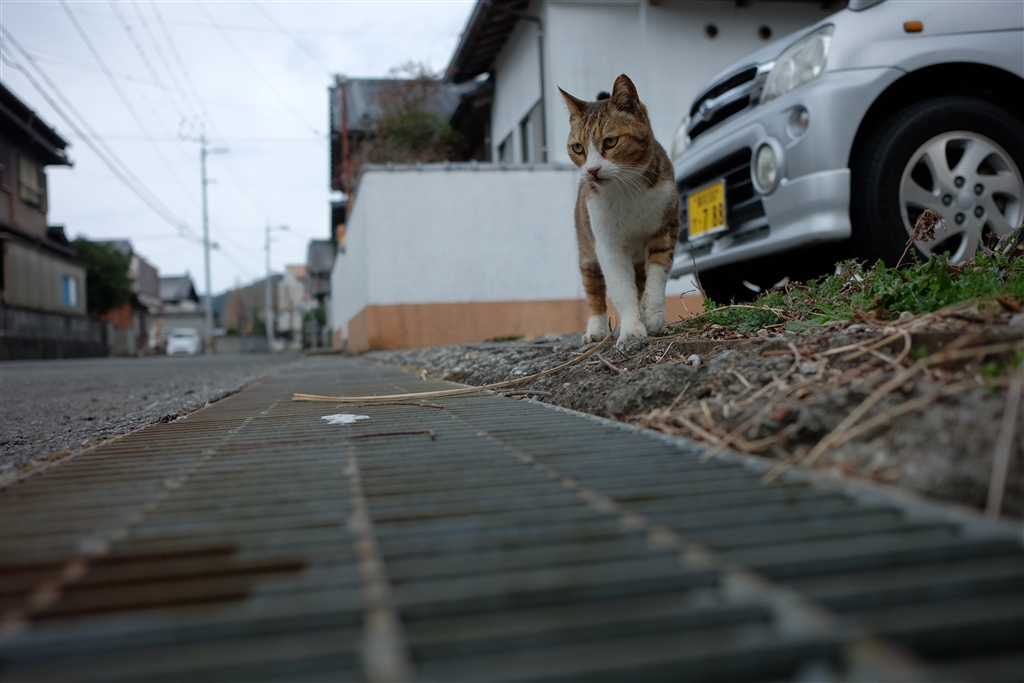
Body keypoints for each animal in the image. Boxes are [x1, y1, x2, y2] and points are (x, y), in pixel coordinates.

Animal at [559, 75, 680, 349]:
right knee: (594, 292)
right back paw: (595, 330)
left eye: (610, 141)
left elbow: (657, 272)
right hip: (587, 251)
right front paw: (632, 330)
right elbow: (621, 288)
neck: (626, 190)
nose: (592, 170)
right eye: (578, 148)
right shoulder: (608, 245)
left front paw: (652, 315)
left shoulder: (665, 227)